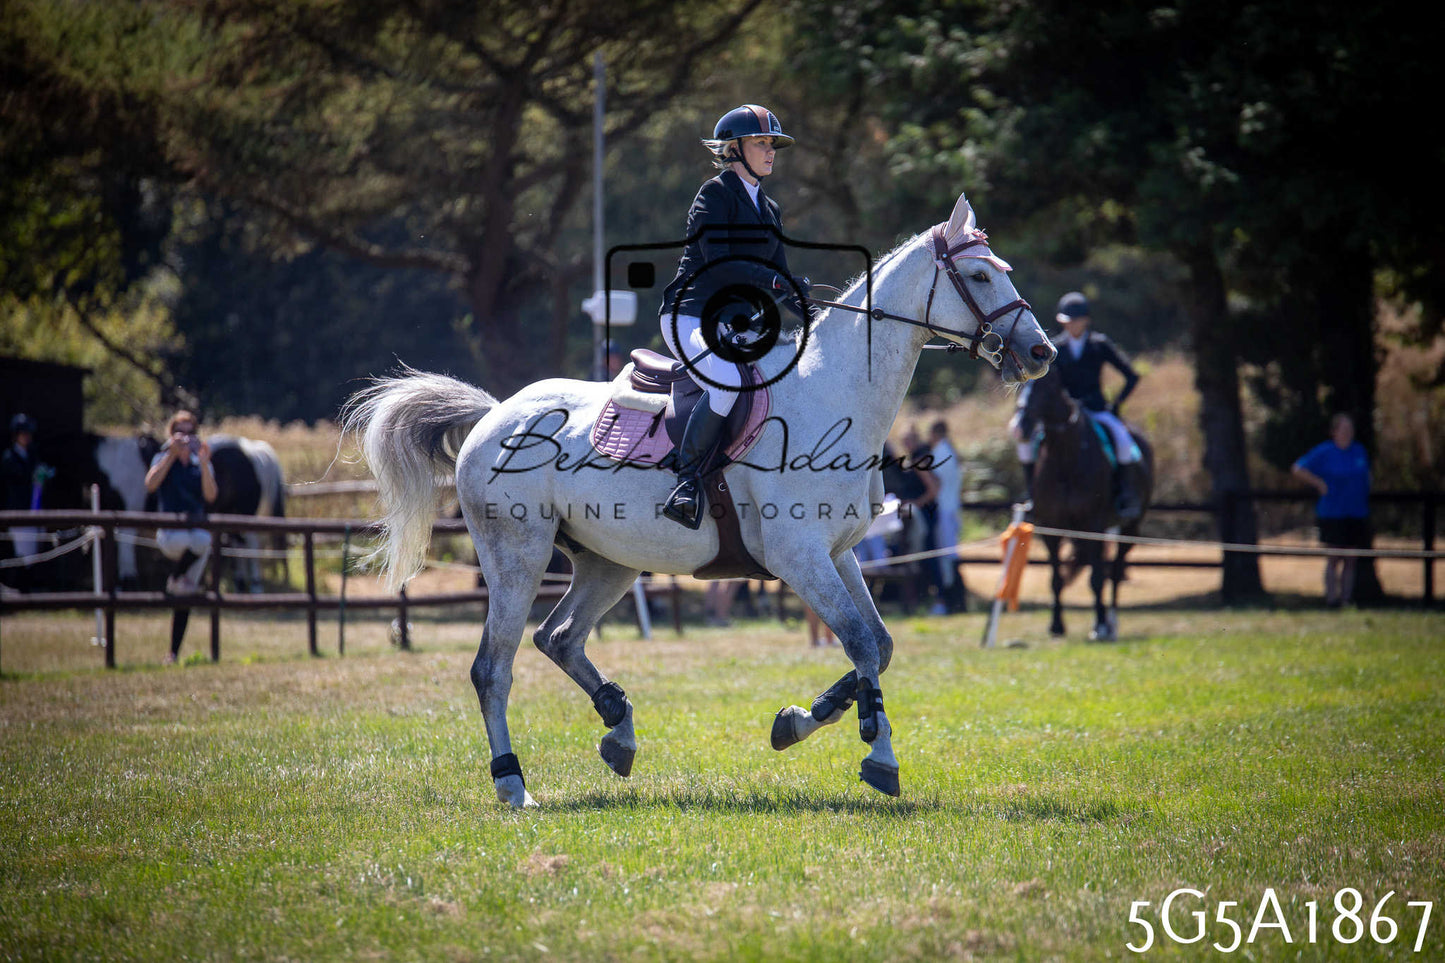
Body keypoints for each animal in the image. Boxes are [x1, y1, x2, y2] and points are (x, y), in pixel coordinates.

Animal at [343, 192, 1055, 808]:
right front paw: (879, 759)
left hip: (609, 562)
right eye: (979, 277)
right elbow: (856, 641)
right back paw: (513, 784)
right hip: (516, 557)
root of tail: (496, 414)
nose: (1040, 352)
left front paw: (798, 721)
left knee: (560, 637)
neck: (835, 393)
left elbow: (876, 646)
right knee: (494, 669)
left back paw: (619, 730)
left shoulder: (838, 553)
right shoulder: (799, 557)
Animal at [1015, 366, 1154, 641]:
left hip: (1130, 527)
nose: (1022, 426)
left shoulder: (1094, 524)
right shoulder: (1051, 527)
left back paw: (1111, 623)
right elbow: (1056, 579)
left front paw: (1099, 625)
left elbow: (1097, 579)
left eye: (1048, 386)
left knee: (1114, 573)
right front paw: (1056, 625)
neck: (1064, 456)